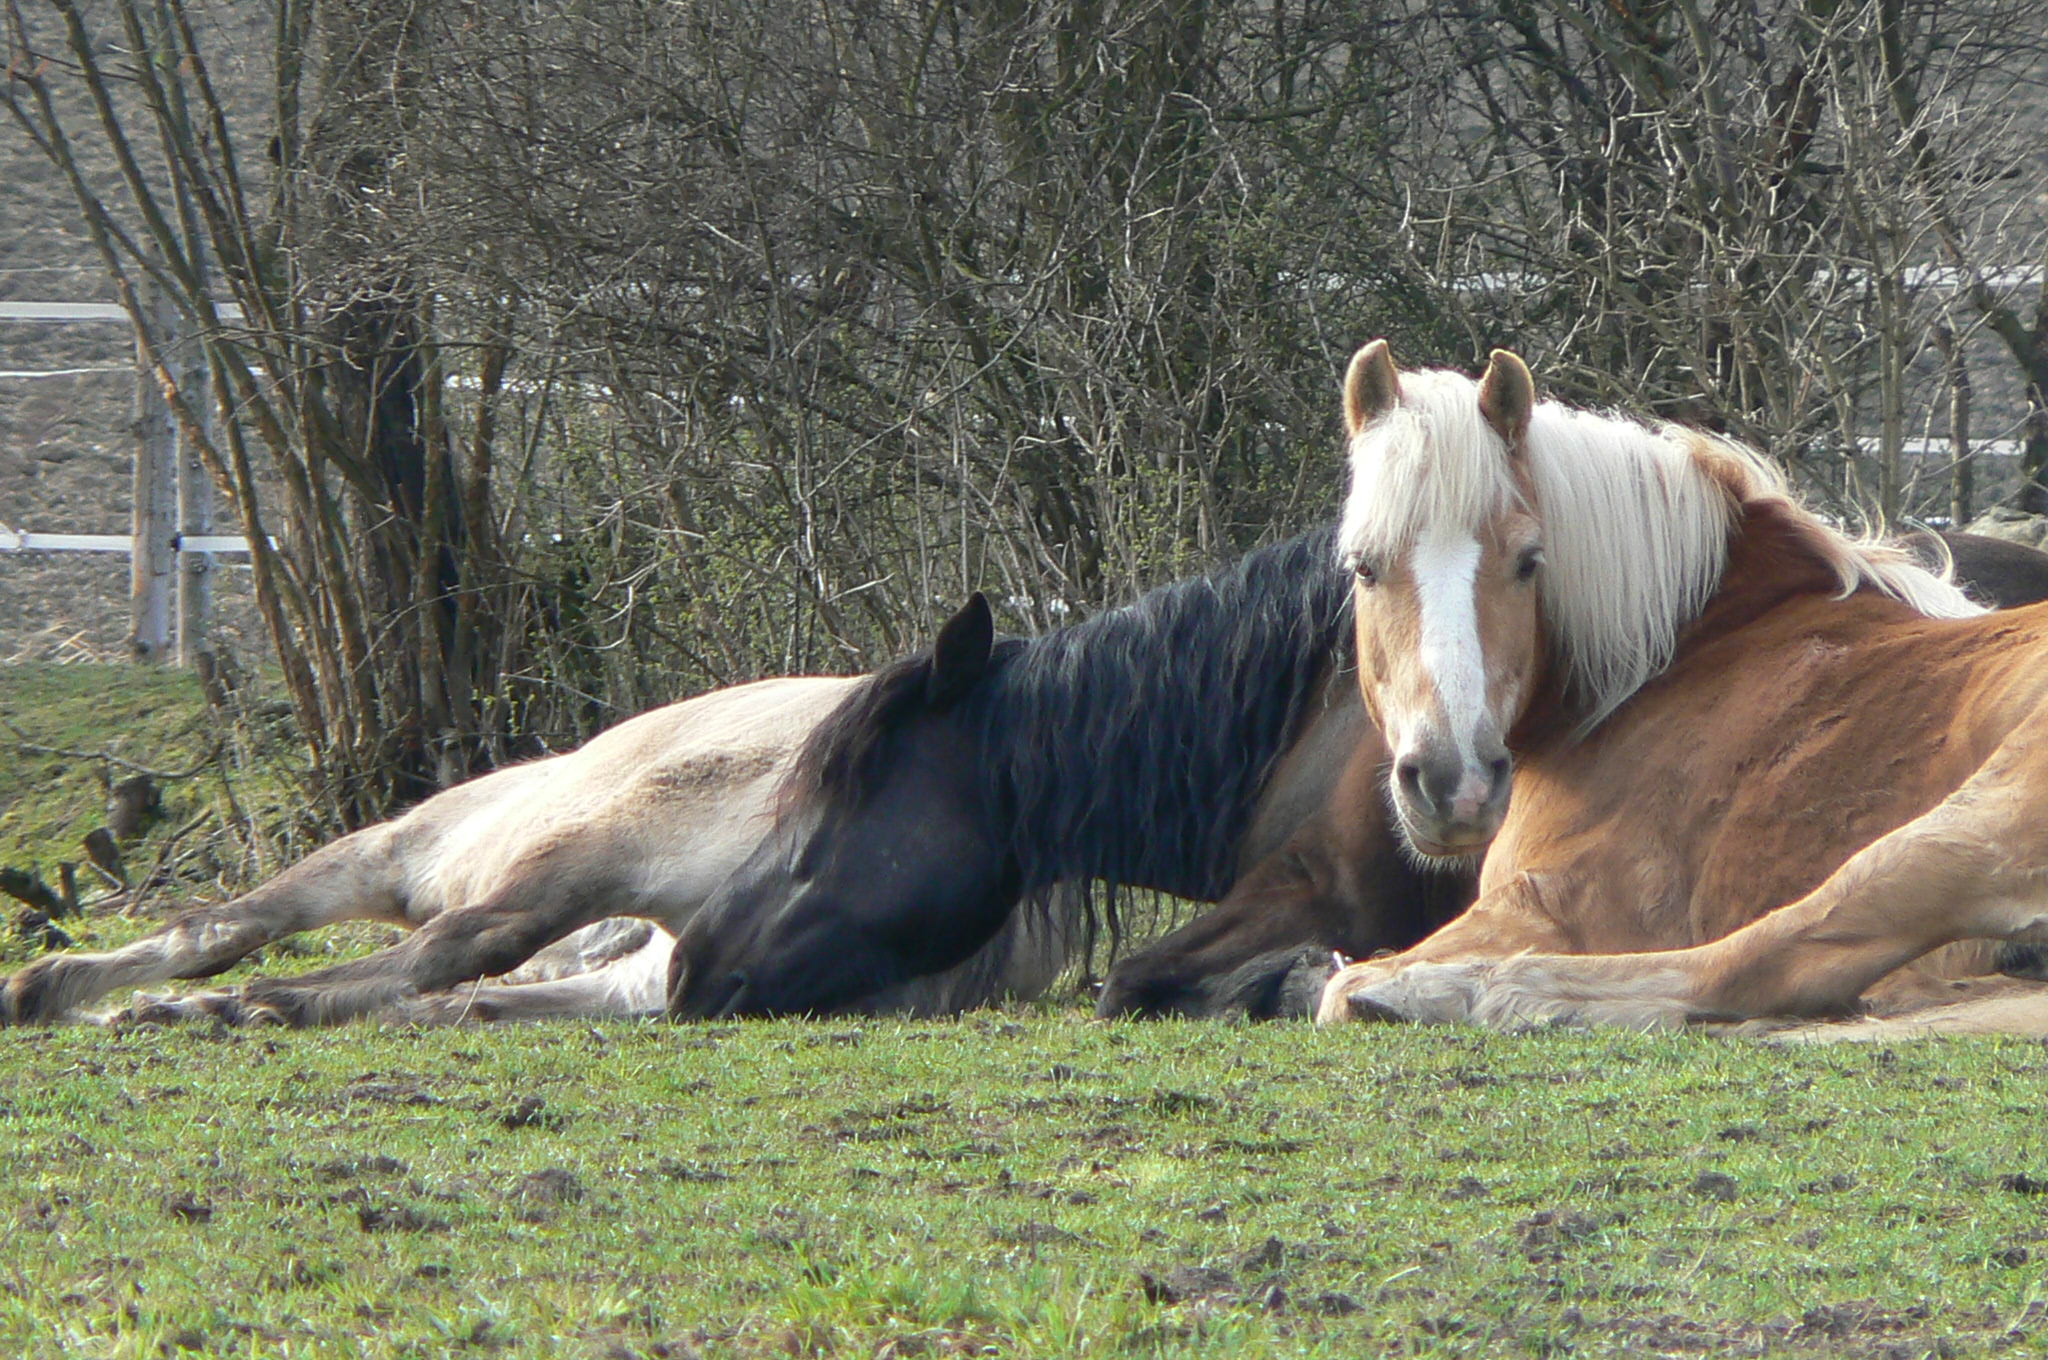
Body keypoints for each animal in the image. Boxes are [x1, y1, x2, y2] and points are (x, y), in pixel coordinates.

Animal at [1318, 340, 2048, 1032]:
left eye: (1529, 562)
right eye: (1363, 567)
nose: (1455, 784)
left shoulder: (1548, 902)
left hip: (1966, 828)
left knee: (1763, 962)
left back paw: (1468, 991)